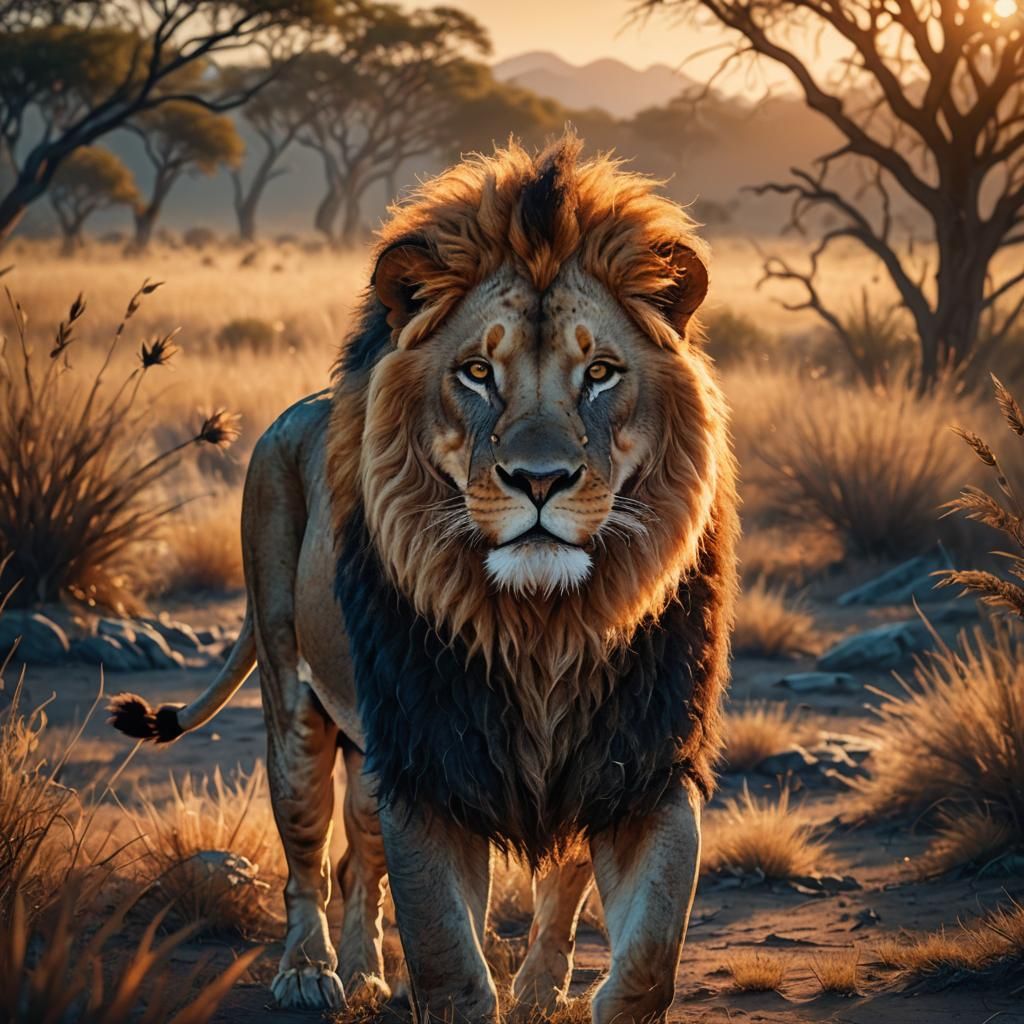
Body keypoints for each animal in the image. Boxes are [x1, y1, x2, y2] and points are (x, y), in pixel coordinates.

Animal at [109, 133, 738, 1024]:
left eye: (601, 374)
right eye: (477, 371)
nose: (538, 480)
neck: (545, 626)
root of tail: (292, 414)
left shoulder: (639, 765)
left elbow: (644, 953)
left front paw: (552, 990)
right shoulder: (427, 768)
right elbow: (448, 959)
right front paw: (442, 983)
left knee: (375, 868)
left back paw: (408, 975)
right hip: (297, 710)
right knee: (307, 860)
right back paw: (312, 972)